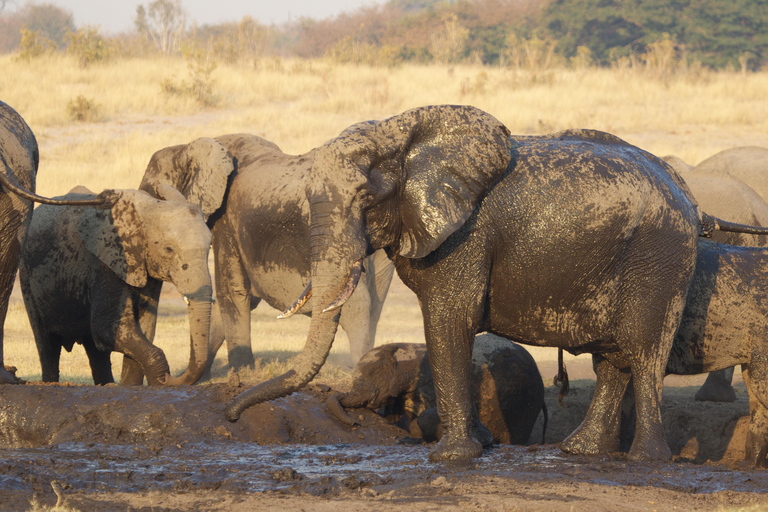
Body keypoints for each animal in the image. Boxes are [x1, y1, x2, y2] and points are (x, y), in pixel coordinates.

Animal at [19, 186, 214, 386]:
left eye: (210, 246)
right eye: (169, 249)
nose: (169, 378)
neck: (148, 206)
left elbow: (143, 328)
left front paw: (131, 386)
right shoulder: (108, 262)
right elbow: (109, 327)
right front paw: (159, 380)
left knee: (94, 349)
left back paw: (106, 384)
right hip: (27, 276)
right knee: (47, 344)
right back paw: (50, 383)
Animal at [136, 132, 396, 374]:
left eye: (152, 195)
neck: (187, 147)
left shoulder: (226, 222)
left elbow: (232, 292)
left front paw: (242, 373)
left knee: (356, 304)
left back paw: (357, 368)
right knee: (375, 303)